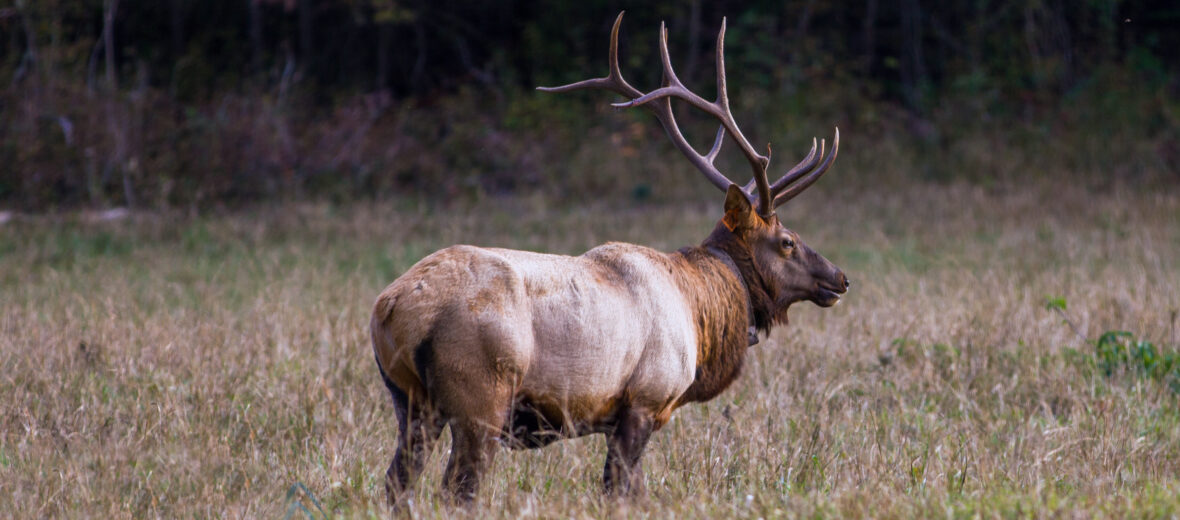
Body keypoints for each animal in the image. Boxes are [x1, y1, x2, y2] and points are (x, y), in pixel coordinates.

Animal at [368, 12, 849, 504]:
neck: (702, 310)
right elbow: (621, 489)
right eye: (787, 240)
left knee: (396, 482)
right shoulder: (645, 399)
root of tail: (394, 307)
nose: (840, 278)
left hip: (410, 401)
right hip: (481, 396)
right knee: (457, 488)